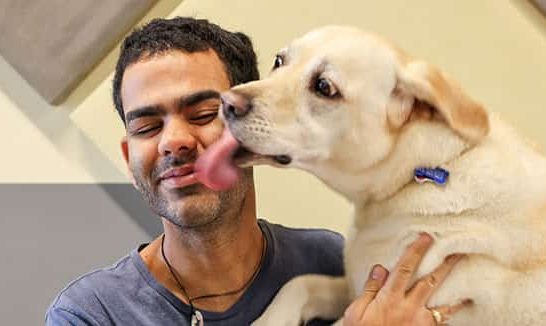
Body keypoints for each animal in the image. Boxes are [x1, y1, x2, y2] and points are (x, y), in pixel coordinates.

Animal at [194, 26, 544, 326]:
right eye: (280, 61)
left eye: (324, 87)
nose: (226, 103)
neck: (415, 174)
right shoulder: (358, 282)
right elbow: (300, 283)